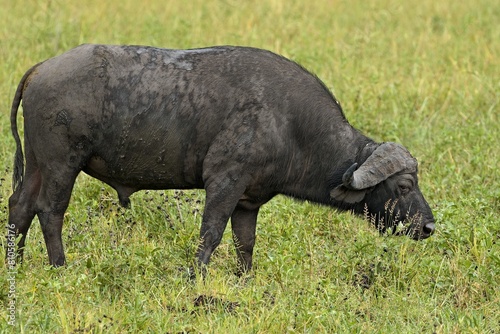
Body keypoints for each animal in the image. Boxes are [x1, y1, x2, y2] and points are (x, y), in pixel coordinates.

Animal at [6, 44, 434, 272]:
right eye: (403, 185)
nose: (429, 227)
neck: (290, 123)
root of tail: (42, 68)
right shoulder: (224, 183)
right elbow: (210, 234)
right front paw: (195, 277)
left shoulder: (248, 201)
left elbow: (246, 244)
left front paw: (245, 280)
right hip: (62, 164)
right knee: (50, 211)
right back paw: (60, 268)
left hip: (38, 164)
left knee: (19, 206)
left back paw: (15, 266)